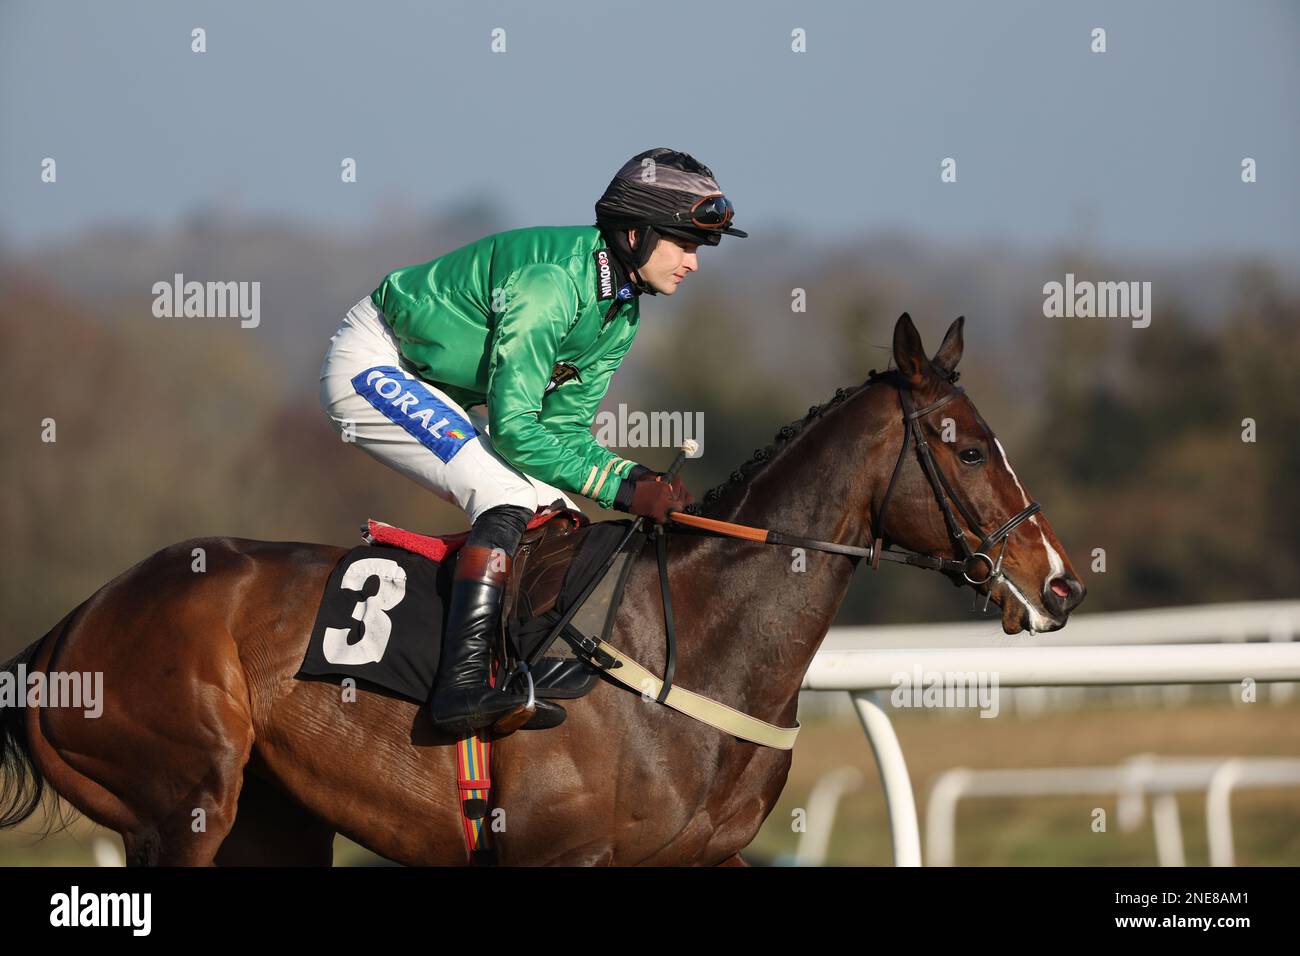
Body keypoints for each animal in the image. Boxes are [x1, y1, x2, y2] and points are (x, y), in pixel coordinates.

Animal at [0, 314, 1086, 868]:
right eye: (969, 447)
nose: (1060, 583)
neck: (691, 640)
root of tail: (66, 631)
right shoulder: (560, 858)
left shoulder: (699, 859)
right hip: (182, 803)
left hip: (273, 823)